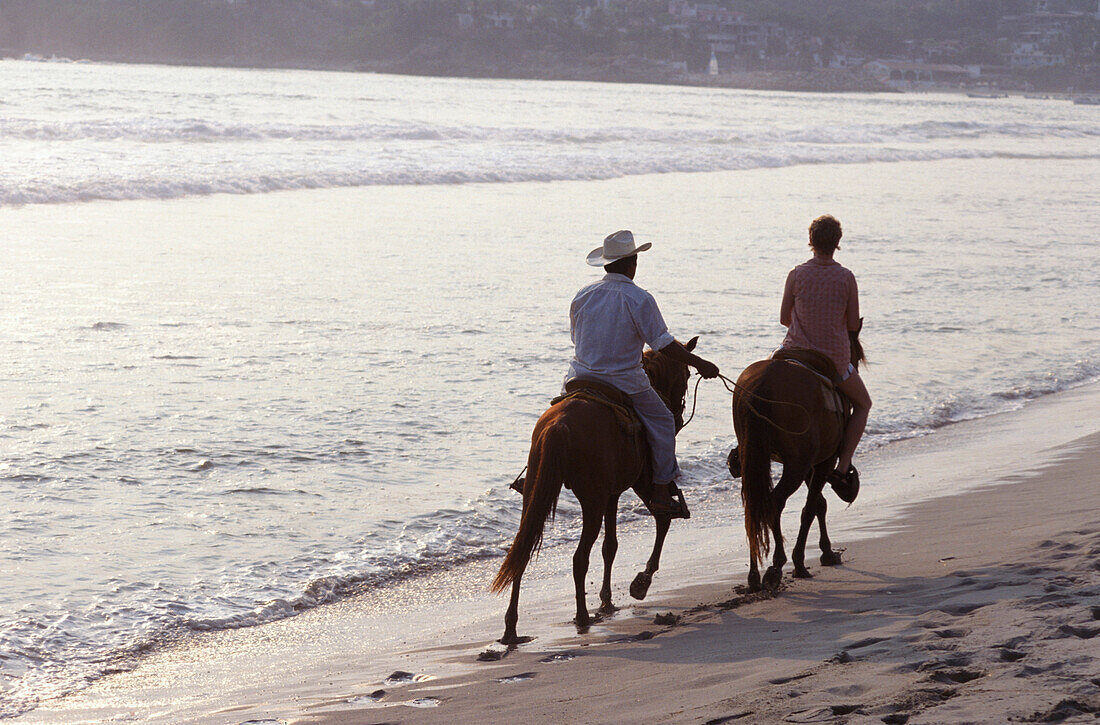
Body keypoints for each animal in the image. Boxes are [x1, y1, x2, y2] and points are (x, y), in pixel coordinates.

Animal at [490, 336, 695, 642]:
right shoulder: (640, 483)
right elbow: (661, 519)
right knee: (579, 558)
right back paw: (582, 615)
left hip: (537, 495)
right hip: (592, 501)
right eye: (686, 374)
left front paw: (607, 599)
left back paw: (511, 627)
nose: (678, 416)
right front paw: (641, 582)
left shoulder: (612, 494)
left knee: (522, 550)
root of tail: (559, 425)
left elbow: (610, 546)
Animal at [730, 325, 866, 594]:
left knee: (755, 507)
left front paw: (826, 552)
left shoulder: (809, 465)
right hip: (796, 466)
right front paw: (803, 561)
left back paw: (754, 575)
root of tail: (764, 382)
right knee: (774, 503)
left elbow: (819, 504)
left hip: (760, 460)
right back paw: (776, 566)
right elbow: (812, 507)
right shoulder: (822, 462)